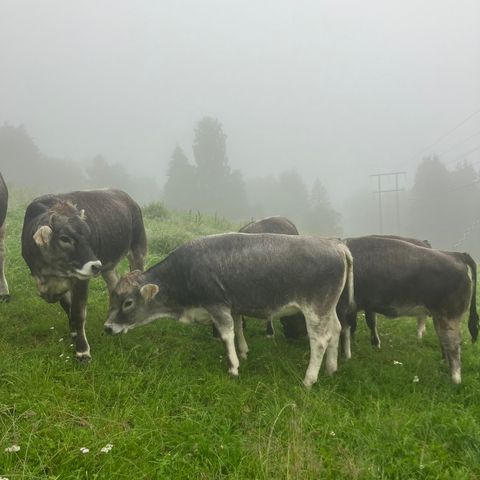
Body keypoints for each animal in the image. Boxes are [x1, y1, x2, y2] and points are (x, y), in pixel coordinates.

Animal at [20, 188, 147, 360]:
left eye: (88, 235)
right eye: (65, 238)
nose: (96, 265)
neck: (49, 274)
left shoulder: (80, 281)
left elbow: (78, 314)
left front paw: (82, 350)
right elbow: (68, 308)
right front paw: (73, 334)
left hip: (138, 251)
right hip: (108, 266)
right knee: (114, 285)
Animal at [104, 234, 352, 388]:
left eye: (127, 302)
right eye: (112, 298)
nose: (107, 327)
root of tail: (336, 245)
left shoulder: (217, 305)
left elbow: (226, 335)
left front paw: (233, 367)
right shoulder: (233, 305)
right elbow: (239, 328)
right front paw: (243, 352)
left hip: (316, 309)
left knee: (320, 340)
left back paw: (309, 379)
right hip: (328, 309)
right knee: (336, 330)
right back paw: (331, 368)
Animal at [282, 234, 476, 384]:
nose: (288, 336)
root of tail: (456, 255)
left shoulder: (342, 308)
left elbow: (343, 330)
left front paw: (343, 356)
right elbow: (350, 329)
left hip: (448, 316)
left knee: (453, 344)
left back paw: (455, 379)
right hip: (439, 316)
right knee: (444, 341)